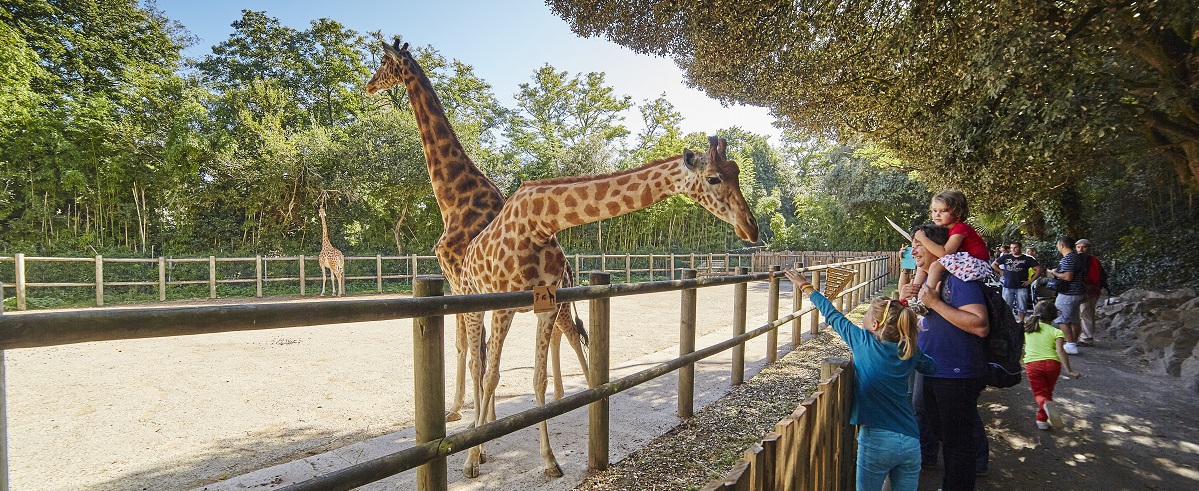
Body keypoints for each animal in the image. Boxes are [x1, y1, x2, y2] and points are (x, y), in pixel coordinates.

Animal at [458, 135, 757, 476]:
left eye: (736, 171)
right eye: (714, 178)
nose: (751, 227)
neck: (538, 224)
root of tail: (467, 254)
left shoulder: (546, 305)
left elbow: (538, 379)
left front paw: (550, 460)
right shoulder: (504, 306)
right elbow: (491, 376)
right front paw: (471, 461)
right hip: (475, 303)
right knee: (478, 366)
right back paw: (478, 444)